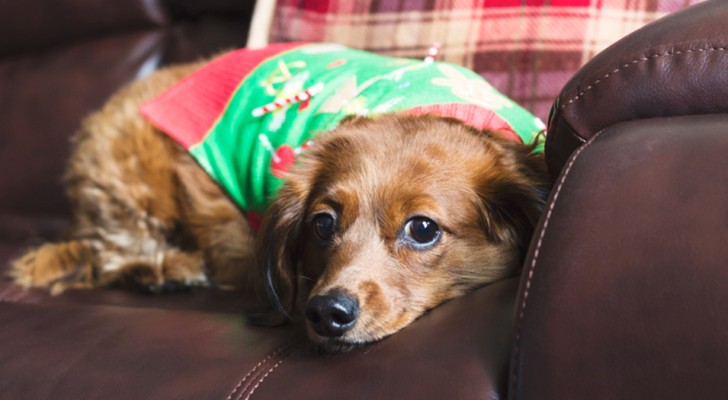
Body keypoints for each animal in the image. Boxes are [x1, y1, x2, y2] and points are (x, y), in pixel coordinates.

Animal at [8, 44, 552, 350]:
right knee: (110, 252)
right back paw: (164, 270)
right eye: (323, 223)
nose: (327, 313)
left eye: (422, 229)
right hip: (127, 186)